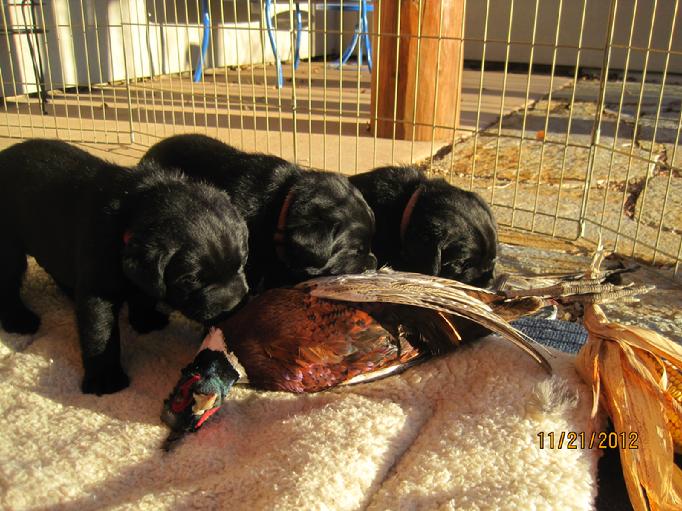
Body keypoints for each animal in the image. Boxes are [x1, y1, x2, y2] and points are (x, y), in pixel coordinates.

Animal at [0, 140, 248, 396]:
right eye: (191, 280)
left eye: (241, 262)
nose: (233, 308)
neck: (129, 216)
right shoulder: (98, 288)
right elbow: (100, 333)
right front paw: (105, 378)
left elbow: (143, 294)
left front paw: (145, 320)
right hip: (7, 245)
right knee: (7, 282)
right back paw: (19, 320)